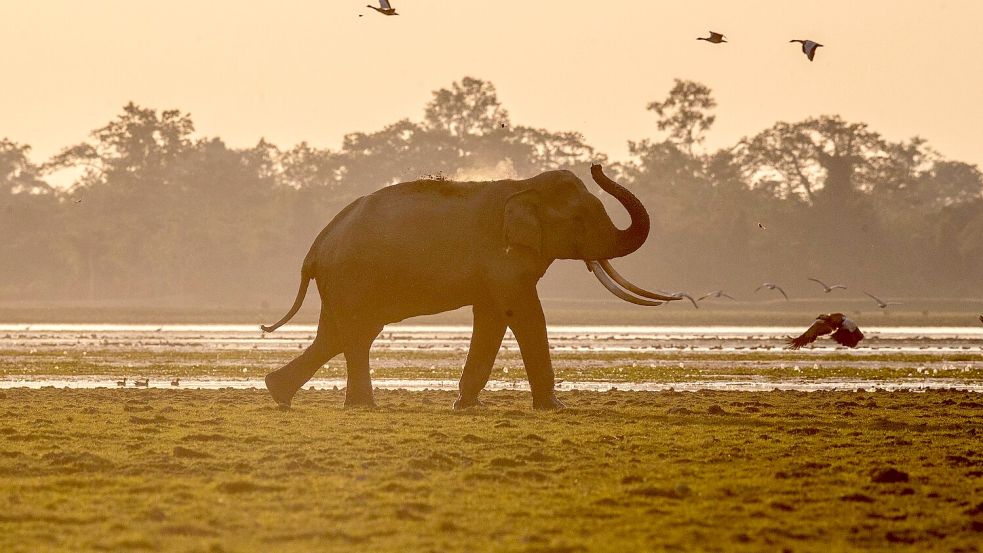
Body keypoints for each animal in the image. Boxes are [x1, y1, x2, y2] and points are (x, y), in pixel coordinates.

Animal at [262, 162, 680, 408]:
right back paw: (360, 405)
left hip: (341, 281)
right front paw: (555, 409)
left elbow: (493, 314)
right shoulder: (504, 258)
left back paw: (279, 392)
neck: (524, 186)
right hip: (353, 277)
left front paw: (466, 405)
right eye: (579, 219)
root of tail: (317, 245)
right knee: (357, 334)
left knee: (335, 335)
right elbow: (523, 311)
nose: (597, 165)